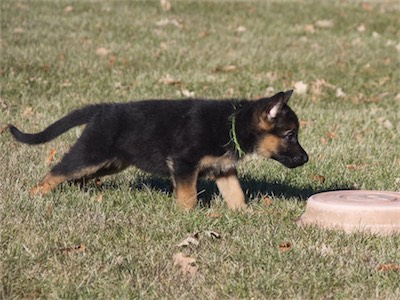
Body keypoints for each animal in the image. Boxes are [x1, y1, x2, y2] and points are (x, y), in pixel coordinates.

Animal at [10, 90, 310, 210]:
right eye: (290, 135)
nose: (306, 159)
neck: (233, 124)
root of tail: (102, 109)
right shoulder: (184, 164)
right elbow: (188, 197)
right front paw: (188, 216)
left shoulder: (223, 169)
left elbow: (236, 194)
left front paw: (244, 214)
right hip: (90, 153)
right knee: (57, 171)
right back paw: (33, 195)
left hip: (111, 162)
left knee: (74, 176)